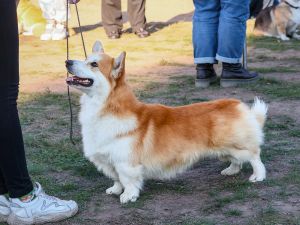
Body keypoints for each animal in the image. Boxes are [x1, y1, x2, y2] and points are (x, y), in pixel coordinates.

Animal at [65, 40, 268, 204]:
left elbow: (127, 180)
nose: (67, 62)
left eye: (93, 64)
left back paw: (257, 176)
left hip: (236, 146)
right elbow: (116, 179)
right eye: (85, 58)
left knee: (254, 156)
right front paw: (115, 190)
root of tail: (239, 106)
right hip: (224, 149)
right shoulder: (108, 160)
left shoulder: (125, 162)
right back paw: (231, 171)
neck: (104, 107)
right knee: (237, 161)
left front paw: (127, 196)